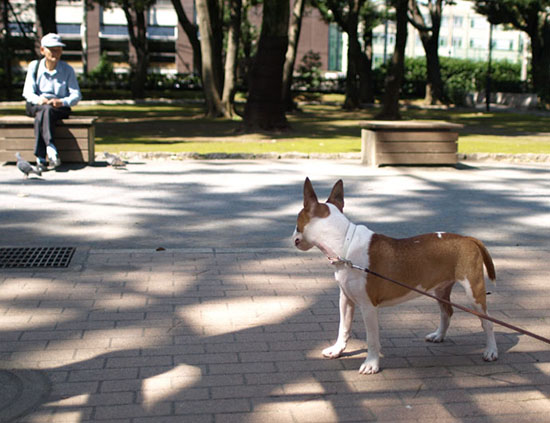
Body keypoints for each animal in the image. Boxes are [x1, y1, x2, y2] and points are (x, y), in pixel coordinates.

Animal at [294, 178, 500, 374]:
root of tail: (467, 238)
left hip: (474, 293)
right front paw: (337, 350)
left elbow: (372, 339)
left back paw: (491, 351)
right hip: (440, 290)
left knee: (487, 322)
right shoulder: (346, 300)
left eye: (296, 223)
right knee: (446, 312)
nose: (293, 236)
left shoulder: (368, 307)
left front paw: (371, 364)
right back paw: (438, 336)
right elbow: (343, 328)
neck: (345, 243)